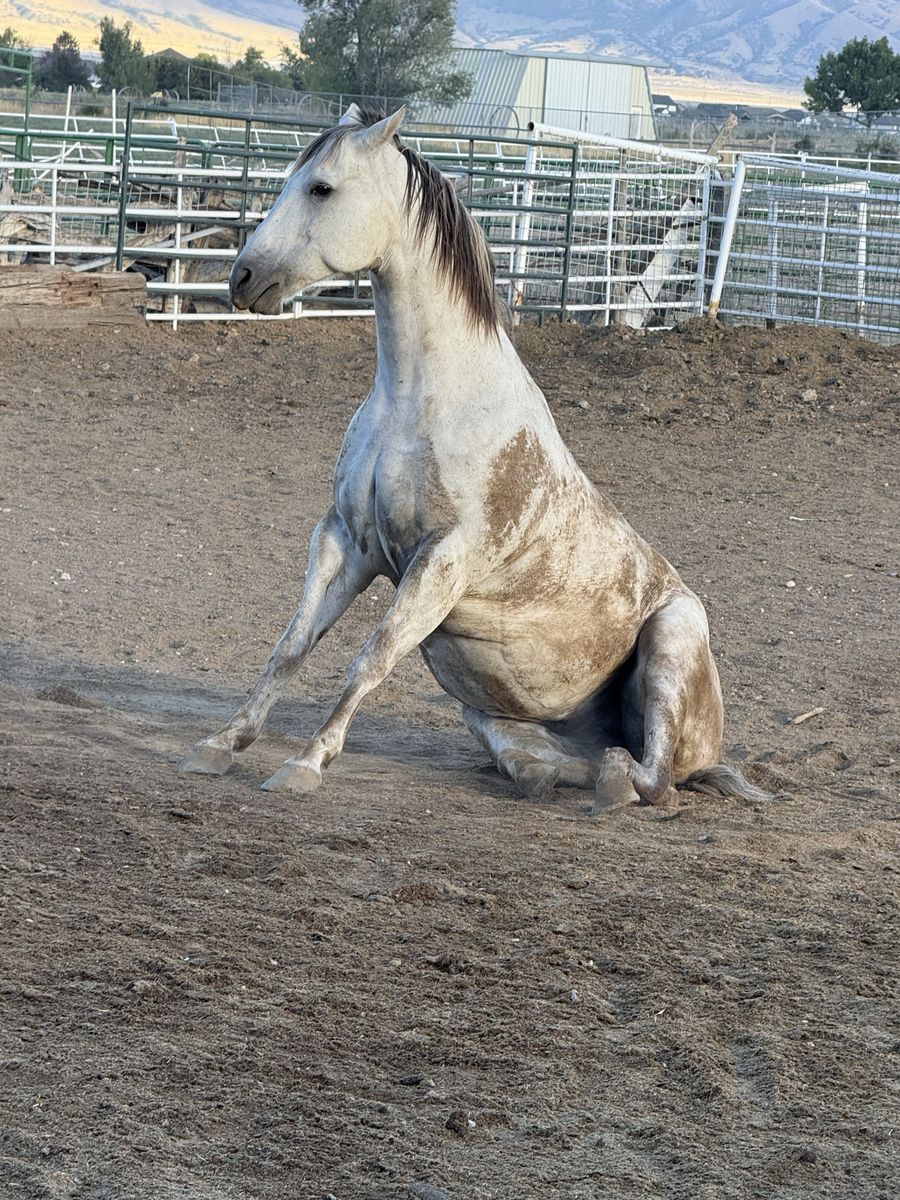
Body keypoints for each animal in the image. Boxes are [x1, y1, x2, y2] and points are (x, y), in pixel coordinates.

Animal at [181, 105, 770, 815]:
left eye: (321, 188)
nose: (242, 278)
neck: (422, 400)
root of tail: (710, 754)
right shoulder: (346, 541)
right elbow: (290, 647)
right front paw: (221, 744)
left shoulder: (442, 561)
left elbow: (370, 659)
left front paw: (306, 762)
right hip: (486, 714)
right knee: (548, 768)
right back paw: (561, 772)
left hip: (672, 642)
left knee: (652, 782)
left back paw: (617, 780)